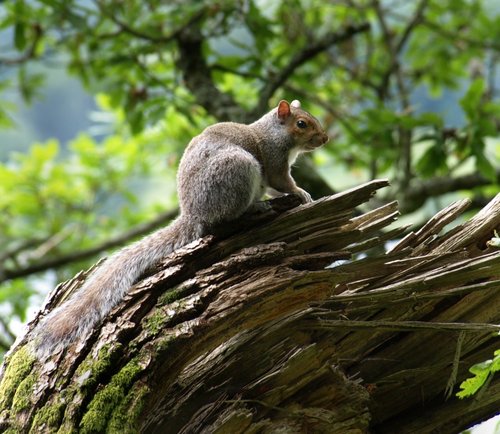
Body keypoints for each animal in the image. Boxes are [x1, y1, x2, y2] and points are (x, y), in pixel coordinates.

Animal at [31, 100, 328, 358]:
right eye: (302, 123)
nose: (325, 138)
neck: (275, 132)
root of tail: (193, 213)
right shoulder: (275, 160)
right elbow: (282, 182)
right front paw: (301, 193)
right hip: (238, 169)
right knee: (224, 219)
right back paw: (255, 209)